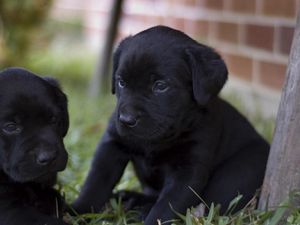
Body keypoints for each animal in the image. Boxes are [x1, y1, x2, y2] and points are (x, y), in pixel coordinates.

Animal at [73, 25, 270, 223]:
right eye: (121, 82)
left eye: (160, 86)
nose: (126, 119)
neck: (158, 140)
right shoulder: (112, 144)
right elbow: (95, 183)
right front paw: (76, 211)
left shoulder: (188, 170)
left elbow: (166, 206)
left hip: (238, 172)